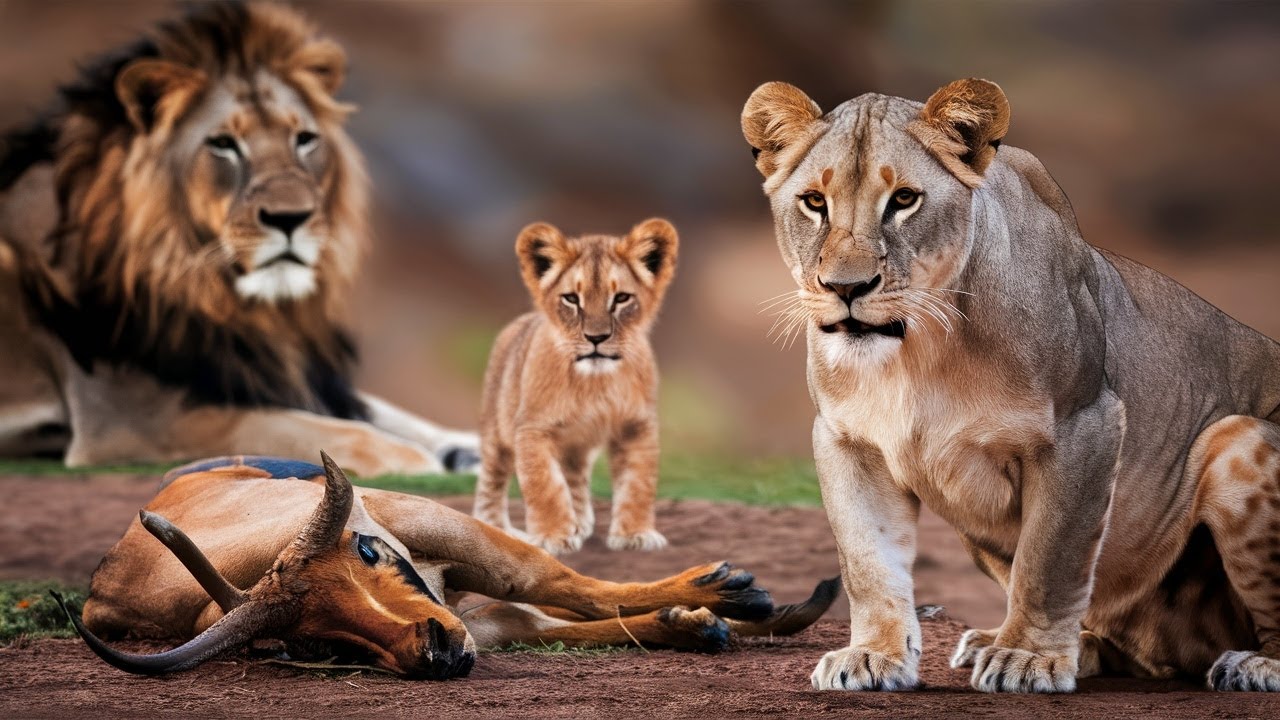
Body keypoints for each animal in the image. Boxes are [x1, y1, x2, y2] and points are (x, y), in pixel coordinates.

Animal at [0, 2, 478, 476]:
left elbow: (376, 411)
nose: (291, 218)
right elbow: (317, 429)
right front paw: (419, 461)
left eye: (304, 139)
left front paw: (467, 447)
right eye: (223, 144)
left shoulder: (267, 371)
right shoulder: (133, 418)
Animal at [472, 219, 678, 555]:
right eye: (571, 298)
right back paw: (496, 529)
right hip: (496, 433)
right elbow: (544, 485)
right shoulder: (533, 428)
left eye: (621, 298)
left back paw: (580, 525)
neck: (595, 382)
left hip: (575, 446)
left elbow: (638, 483)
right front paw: (552, 537)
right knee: (492, 481)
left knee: (575, 480)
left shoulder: (637, 426)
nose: (596, 338)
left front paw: (635, 534)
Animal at [741, 78, 1280, 693]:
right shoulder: (848, 441)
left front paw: (1029, 658)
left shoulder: (1084, 426)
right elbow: (868, 561)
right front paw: (874, 655)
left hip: (1240, 438)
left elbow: (1051, 559)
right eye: (814, 202)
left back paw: (1253, 664)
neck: (917, 353)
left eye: (904, 200)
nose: (846, 287)